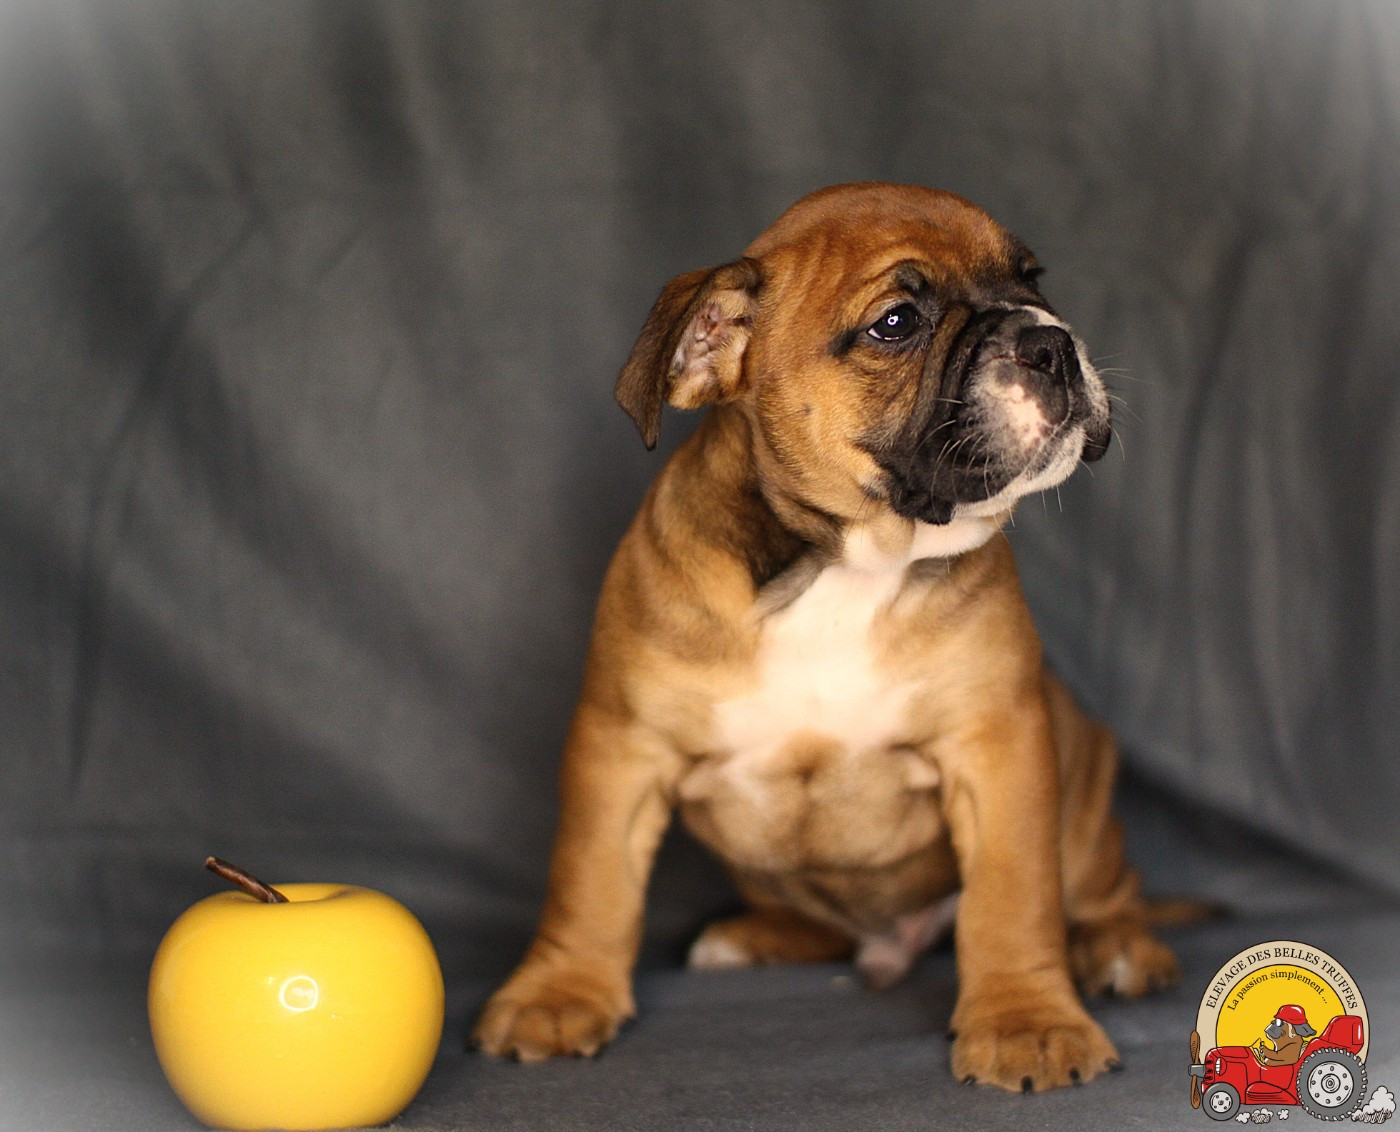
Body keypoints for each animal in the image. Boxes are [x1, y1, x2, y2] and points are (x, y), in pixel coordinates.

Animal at [473, 183, 1179, 1092]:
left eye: (1032, 280)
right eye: (896, 323)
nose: (1049, 342)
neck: (846, 562)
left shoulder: (999, 745)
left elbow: (1012, 897)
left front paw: (1026, 1019)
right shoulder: (621, 746)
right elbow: (589, 880)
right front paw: (558, 993)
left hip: (1084, 781)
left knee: (1100, 891)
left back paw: (1119, 946)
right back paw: (753, 936)